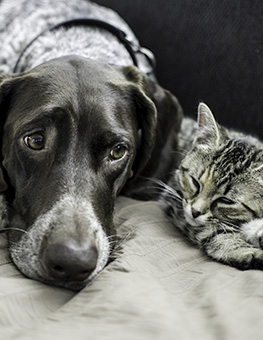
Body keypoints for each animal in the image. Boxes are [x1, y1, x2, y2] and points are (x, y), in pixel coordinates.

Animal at [159, 102, 263, 270]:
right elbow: (216, 230)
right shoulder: (173, 196)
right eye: (195, 182)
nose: (195, 212)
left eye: (226, 201)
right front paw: (245, 250)